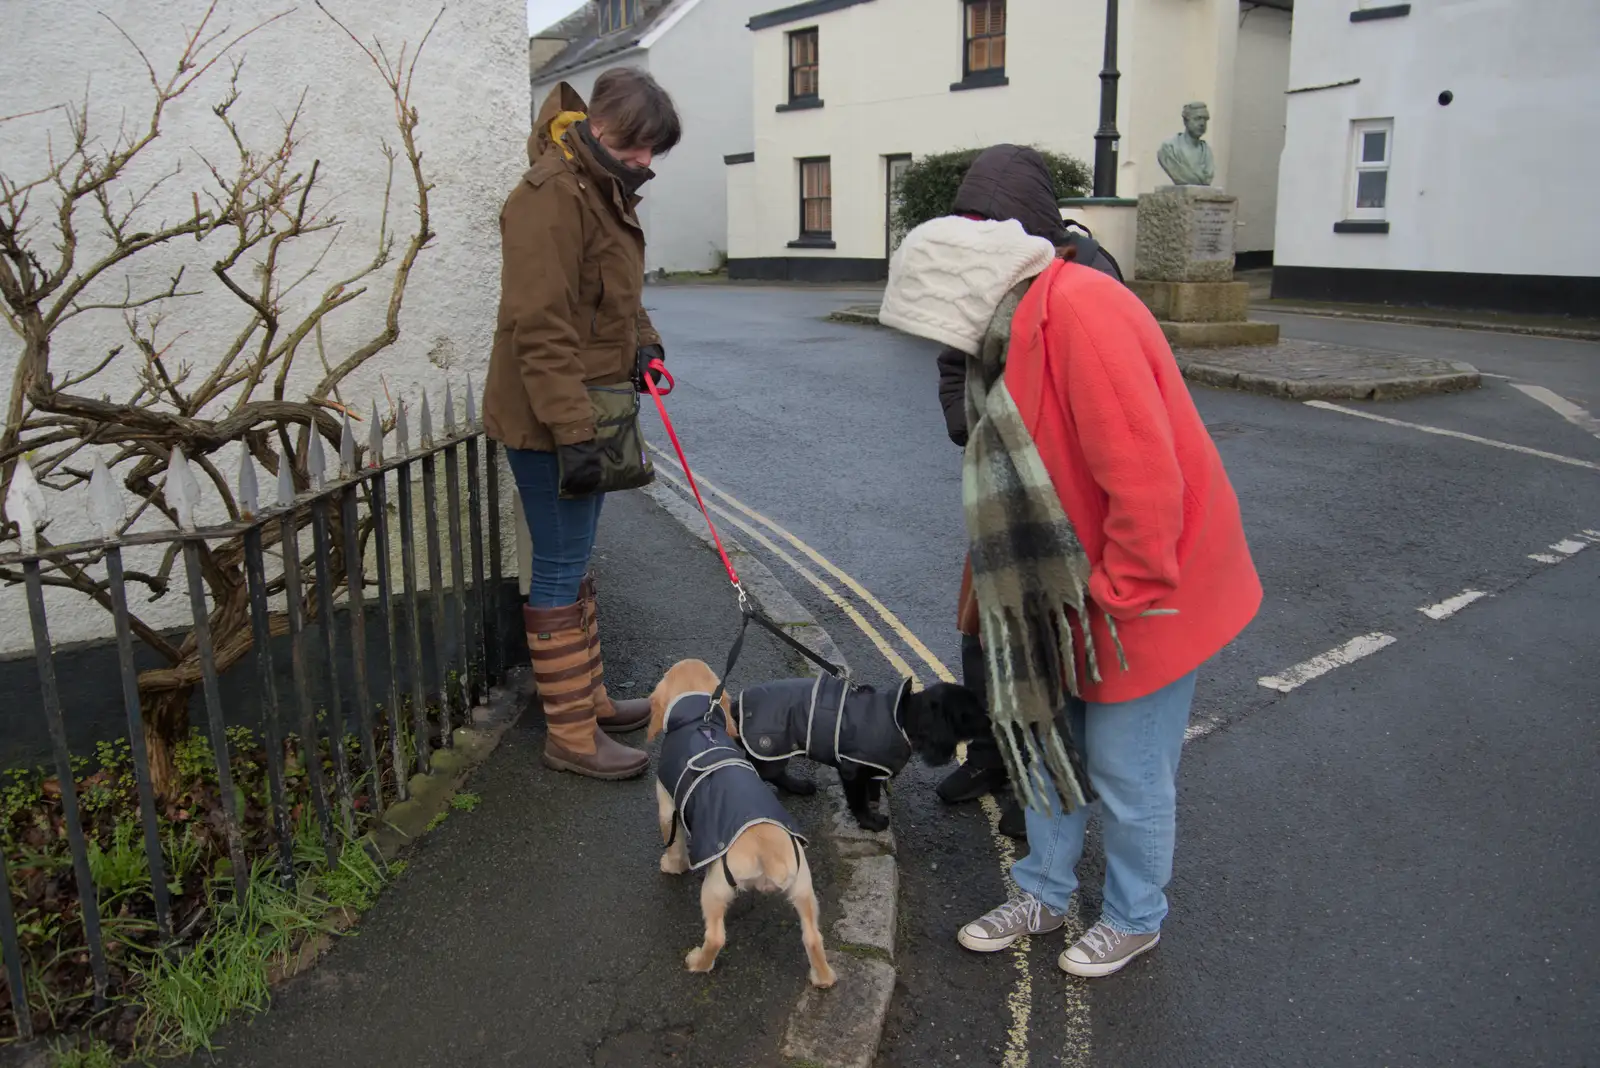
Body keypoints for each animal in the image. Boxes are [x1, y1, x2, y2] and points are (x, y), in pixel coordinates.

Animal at [646, 658, 838, 991]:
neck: (698, 720)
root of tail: (767, 854)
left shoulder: (668, 806)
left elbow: (674, 843)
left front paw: (671, 865)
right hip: (804, 888)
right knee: (813, 937)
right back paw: (823, 978)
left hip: (715, 888)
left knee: (716, 937)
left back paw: (698, 962)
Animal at [732, 674, 985, 831]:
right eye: (969, 714)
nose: (992, 719)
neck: (901, 719)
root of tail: (735, 704)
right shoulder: (852, 770)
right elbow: (858, 801)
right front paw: (871, 823)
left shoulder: (873, 769)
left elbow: (870, 791)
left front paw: (875, 804)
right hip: (771, 747)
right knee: (765, 772)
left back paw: (799, 786)